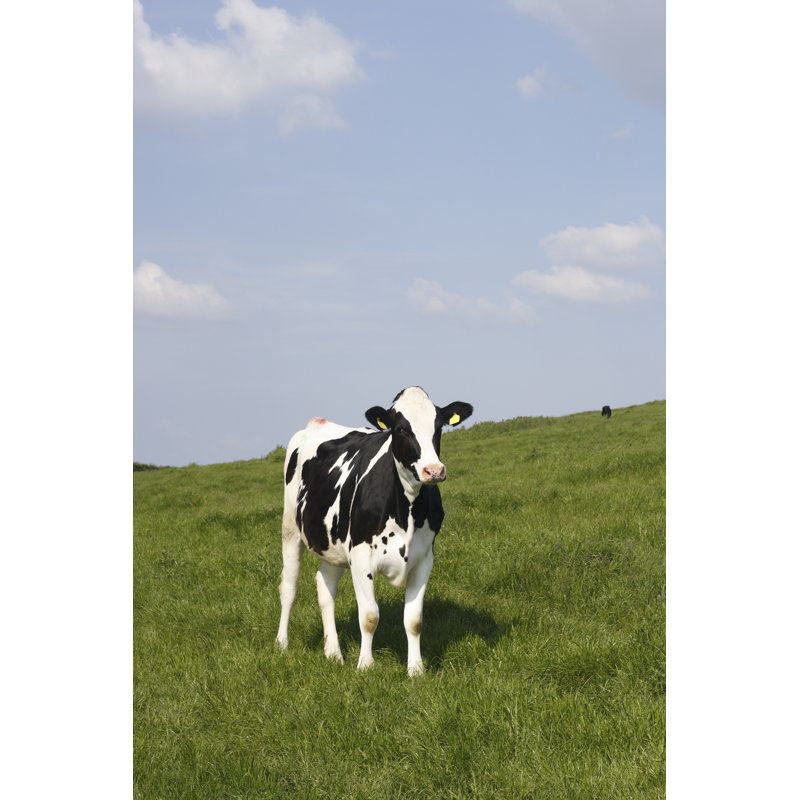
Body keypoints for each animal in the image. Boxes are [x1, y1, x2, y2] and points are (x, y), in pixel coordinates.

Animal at [275, 386, 473, 677]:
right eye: (401, 429)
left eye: (439, 427)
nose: (434, 470)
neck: (406, 511)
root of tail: (318, 422)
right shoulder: (360, 557)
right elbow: (369, 616)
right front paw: (366, 665)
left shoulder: (424, 558)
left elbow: (414, 620)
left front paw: (416, 669)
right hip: (290, 527)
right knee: (289, 587)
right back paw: (282, 644)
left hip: (332, 543)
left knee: (325, 586)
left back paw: (333, 652)